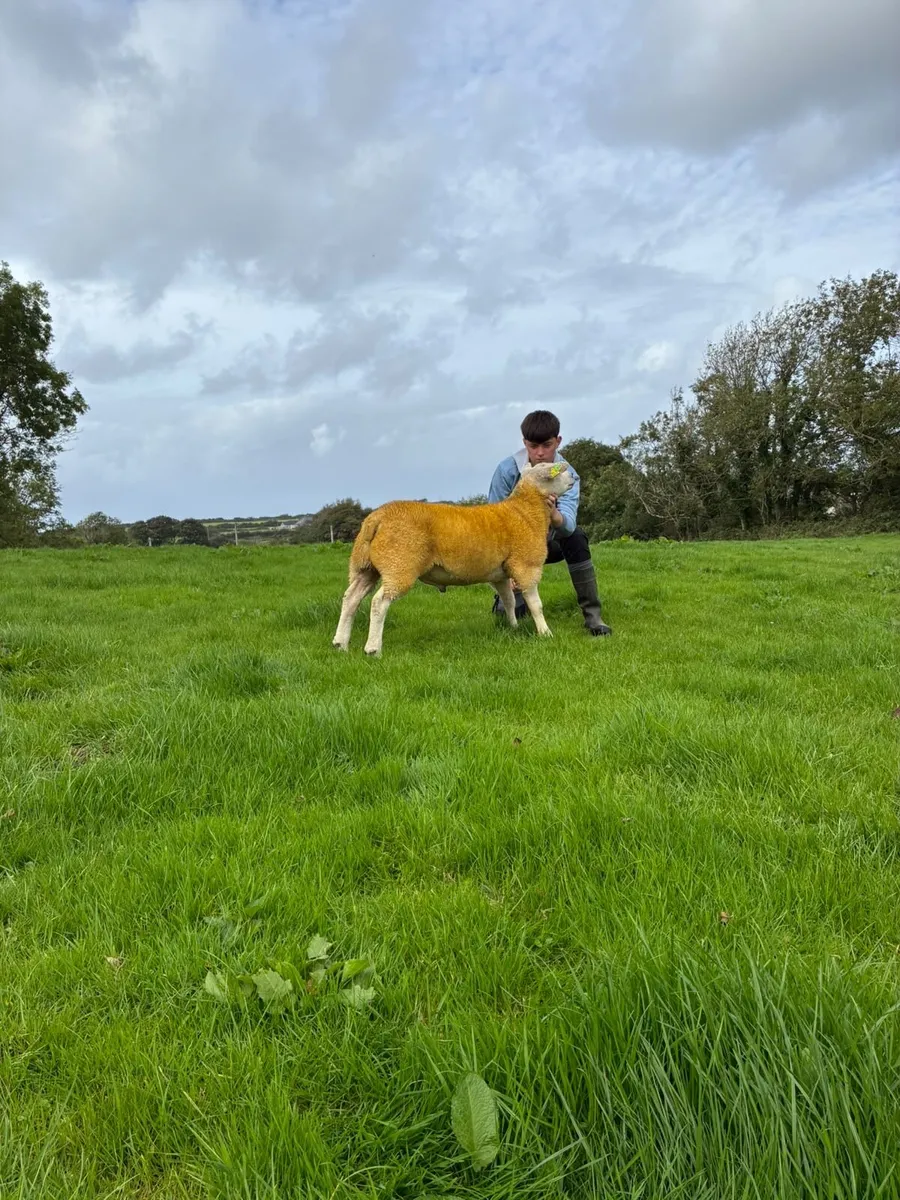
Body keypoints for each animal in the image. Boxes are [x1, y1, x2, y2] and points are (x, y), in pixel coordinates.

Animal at [332, 461, 576, 656]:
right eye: (555, 470)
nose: (574, 478)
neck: (525, 511)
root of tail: (377, 518)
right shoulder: (526, 565)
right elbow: (535, 605)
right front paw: (545, 633)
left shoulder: (500, 574)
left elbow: (509, 601)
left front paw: (513, 627)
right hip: (399, 564)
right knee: (379, 602)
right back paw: (373, 649)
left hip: (366, 566)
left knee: (351, 598)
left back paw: (340, 644)